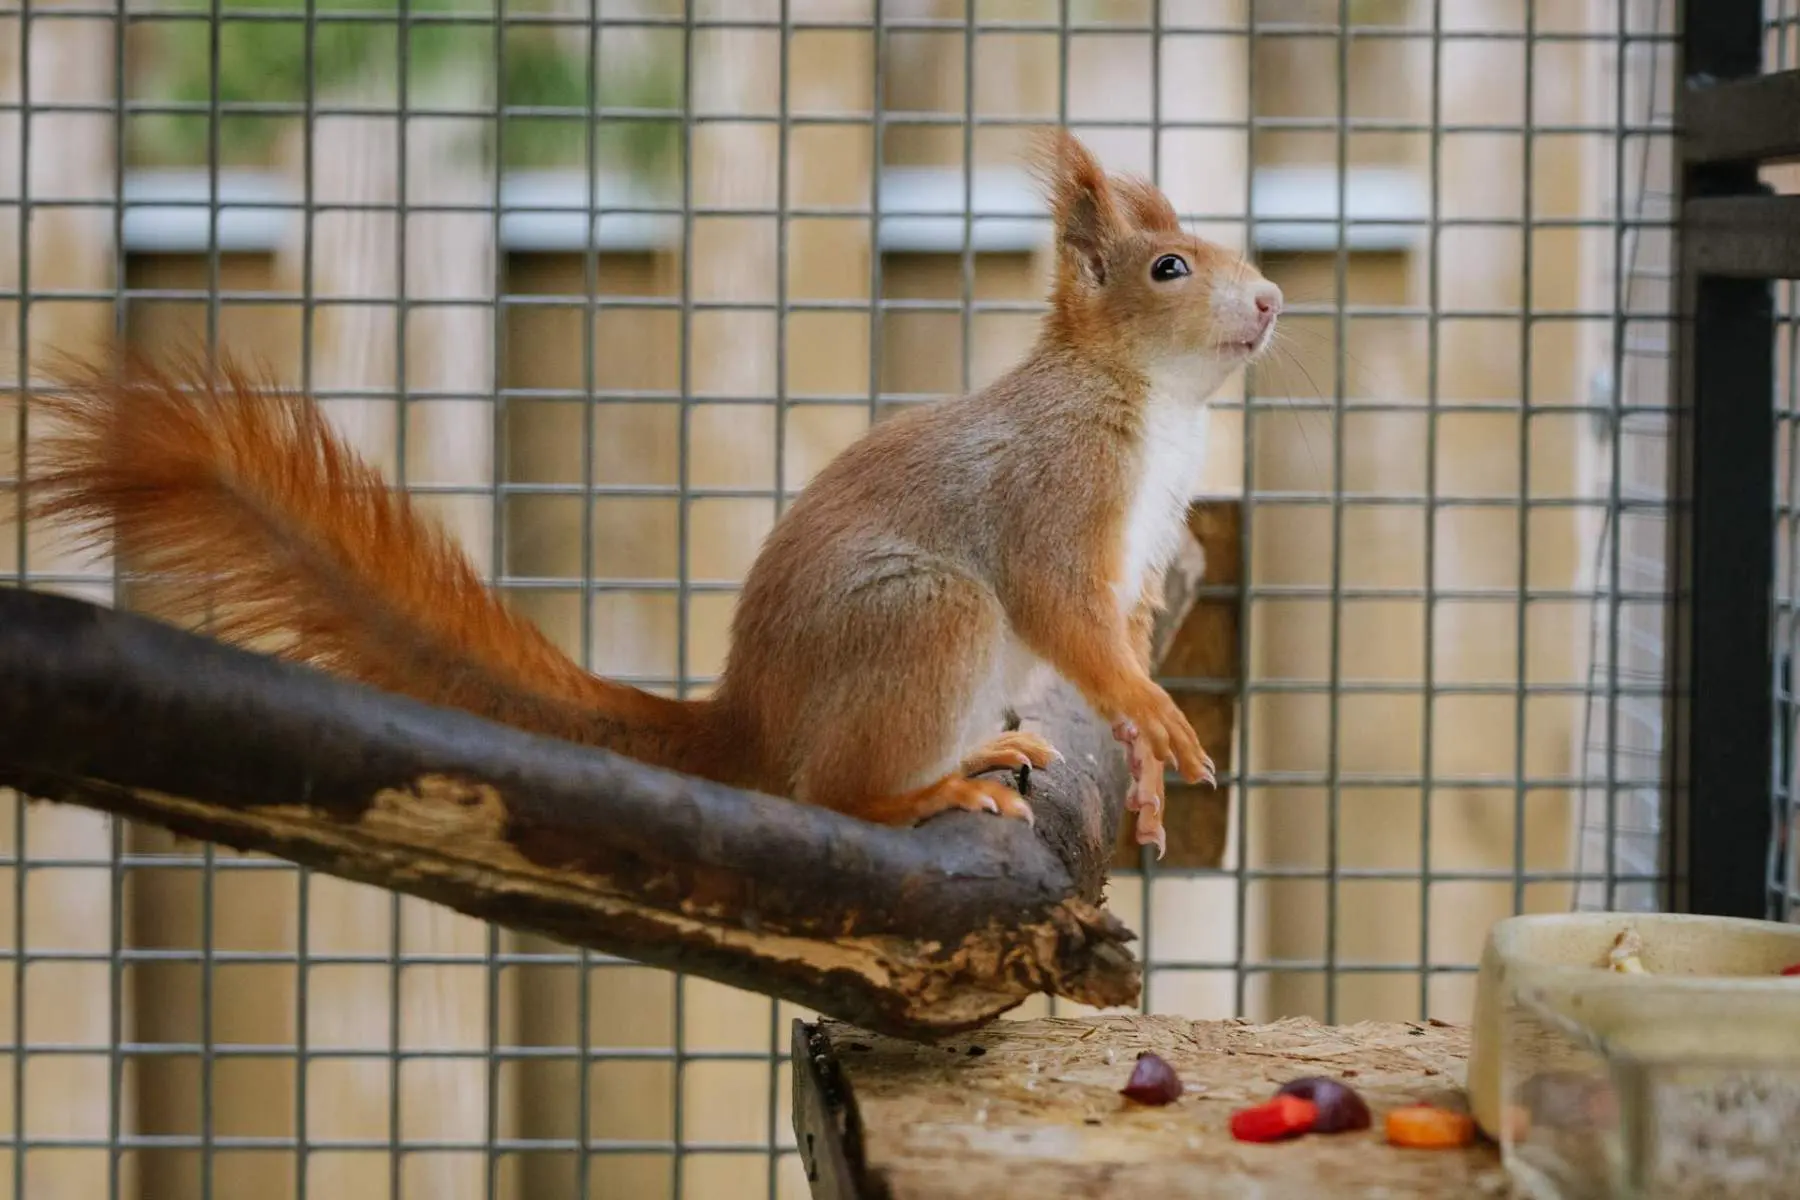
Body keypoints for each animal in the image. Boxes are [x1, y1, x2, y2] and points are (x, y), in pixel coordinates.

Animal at [21, 129, 1280, 856]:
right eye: (1170, 267)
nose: (1272, 299)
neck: (1154, 406)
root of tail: (749, 716)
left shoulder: (1142, 548)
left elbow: (1115, 637)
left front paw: (1146, 768)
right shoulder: (1051, 493)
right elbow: (1069, 618)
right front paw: (1156, 717)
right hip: (927, 618)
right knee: (831, 793)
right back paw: (922, 797)